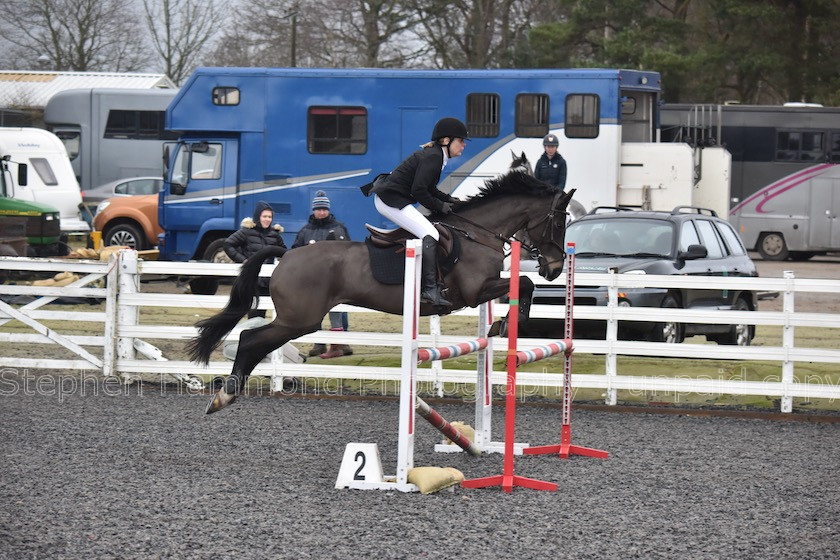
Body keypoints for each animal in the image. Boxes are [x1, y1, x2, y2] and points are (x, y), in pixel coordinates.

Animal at [189, 168, 572, 414]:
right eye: (557, 220)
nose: (554, 269)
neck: (478, 233)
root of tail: (287, 252)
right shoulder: (474, 291)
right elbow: (525, 284)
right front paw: (506, 324)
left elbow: (524, 285)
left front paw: (500, 324)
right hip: (299, 320)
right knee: (251, 340)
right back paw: (224, 396)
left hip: (299, 320)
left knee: (254, 341)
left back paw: (226, 395)